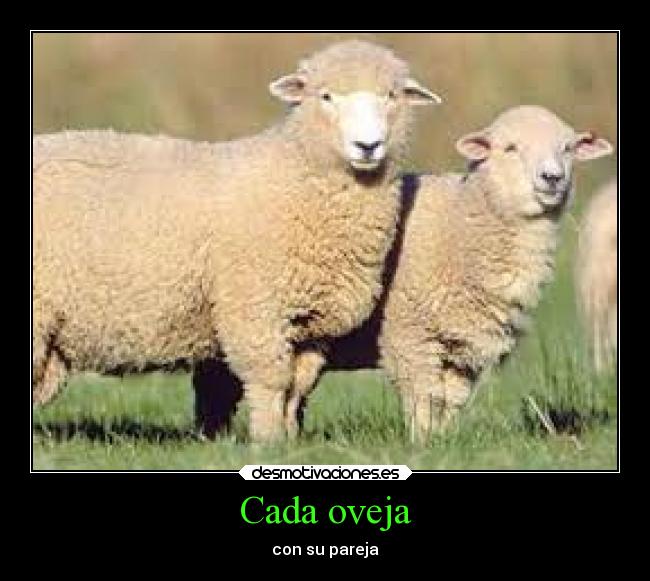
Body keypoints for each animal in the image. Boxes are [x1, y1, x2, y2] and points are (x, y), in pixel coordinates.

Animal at [32, 40, 441, 442]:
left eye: (391, 96)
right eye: (325, 96)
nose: (368, 145)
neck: (294, 175)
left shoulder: (309, 328)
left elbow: (296, 388)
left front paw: (290, 441)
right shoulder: (255, 308)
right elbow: (271, 383)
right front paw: (267, 442)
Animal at [253, 105, 611, 441]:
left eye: (567, 147)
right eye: (510, 147)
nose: (552, 178)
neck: (461, 222)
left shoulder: (462, 349)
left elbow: (450, 400)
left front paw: (444, 441)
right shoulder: (409, 333)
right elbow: (423, 395)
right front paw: (422, 442)